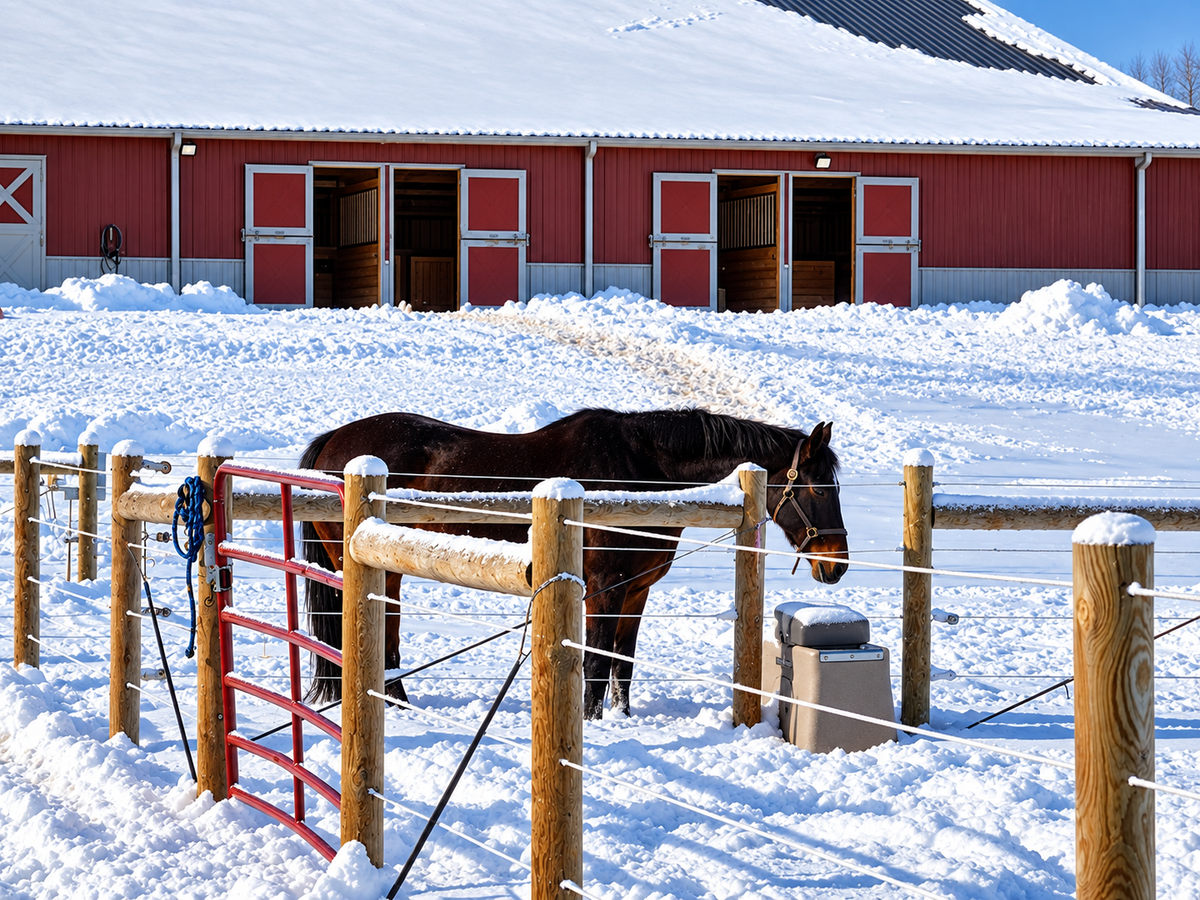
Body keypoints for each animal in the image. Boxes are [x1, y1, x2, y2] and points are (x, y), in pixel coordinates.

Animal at [300, 408, 849, 719]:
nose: (837, 564)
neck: (641, 471)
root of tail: (333, 442)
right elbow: (596, 663)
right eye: (820, 489)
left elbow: (622, 664)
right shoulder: (605, 587)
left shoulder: (636, 589)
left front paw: (621, 719)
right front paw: (591, 722)